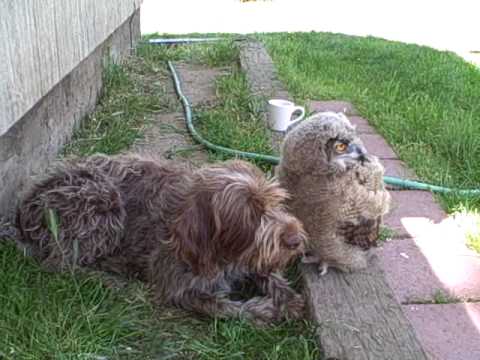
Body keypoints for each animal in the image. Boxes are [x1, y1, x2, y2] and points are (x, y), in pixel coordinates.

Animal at [17, 154, 308, 324]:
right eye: (251, 216)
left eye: (276, 202)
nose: (296, 239)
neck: (221, 252)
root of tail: (26, 203)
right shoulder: (180, 289)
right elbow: (222, 308)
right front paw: (265, 310)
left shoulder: (250, 258)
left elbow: (269, 274)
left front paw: (287, 299)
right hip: (101, 200)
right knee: (61, 264)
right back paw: (114, 281)